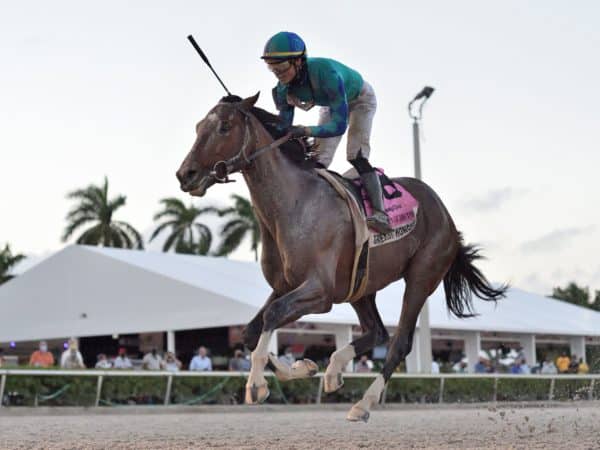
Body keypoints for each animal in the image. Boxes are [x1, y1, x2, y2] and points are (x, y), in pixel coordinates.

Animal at [175, 92, 506, 422]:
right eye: (198, 127)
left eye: (224, 127)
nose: (185, 174)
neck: (293, 204)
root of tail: (448, 219)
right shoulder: (285, 286)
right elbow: (250, 332)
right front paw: (303, 366)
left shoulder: (320, 292)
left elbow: (272, 316)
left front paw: (256, 384)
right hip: (361, 285)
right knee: (377, 332)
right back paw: (334, 370)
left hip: (422, 277)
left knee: (399, 342)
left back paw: (363, 403)